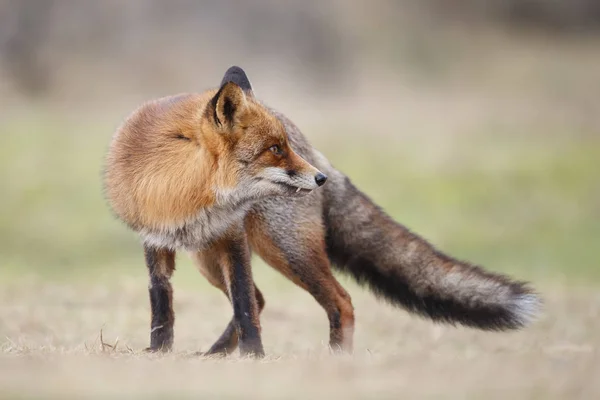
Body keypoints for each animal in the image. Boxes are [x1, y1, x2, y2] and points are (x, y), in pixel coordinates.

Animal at [103, 67, 540, 358]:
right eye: (273, 150)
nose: (320, 179)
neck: (186, 193)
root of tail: (311, 143)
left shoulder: (233, 237)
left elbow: (243, 303)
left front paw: (255, 357)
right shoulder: (155, 240)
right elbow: (163, 303)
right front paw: (159, 354)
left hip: (285, 248)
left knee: (338, 301)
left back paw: (336, 361)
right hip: (208, 258)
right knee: (262, 299)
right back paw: (215, 355)